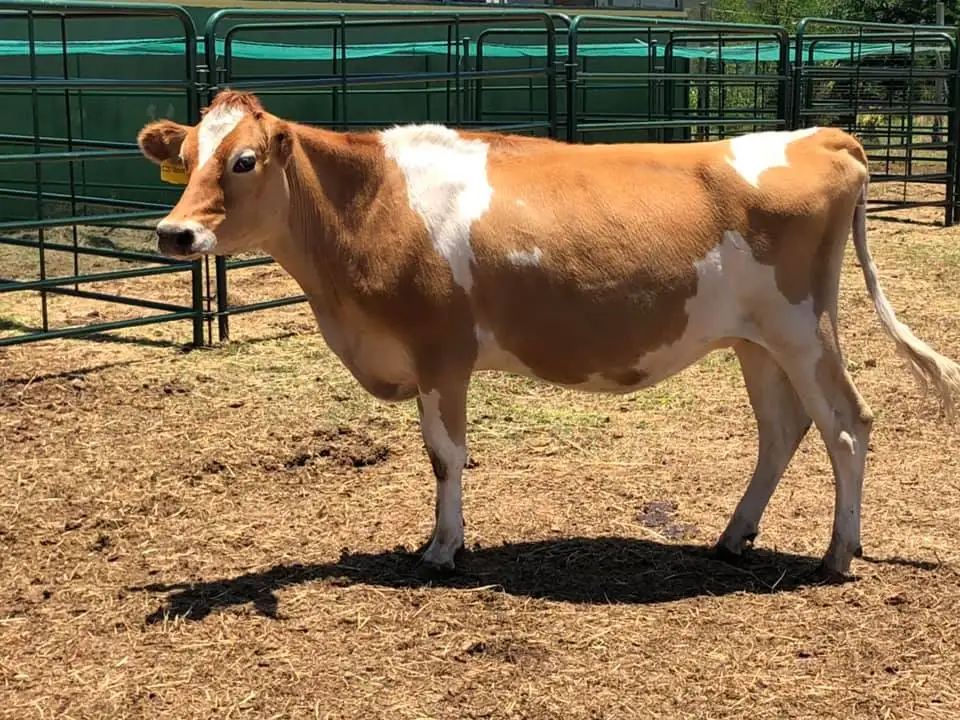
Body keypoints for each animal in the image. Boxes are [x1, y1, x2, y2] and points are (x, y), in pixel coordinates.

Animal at [136, 90, 960, 581]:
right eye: (187, 157)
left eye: (244, 160)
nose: (175, 234)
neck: (371, 205)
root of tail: (824, 137)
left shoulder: (442, 354)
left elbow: (445, 457)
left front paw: (443, 548)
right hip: (755, 341)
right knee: (784, 429)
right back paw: (735, 535)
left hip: (802, 327)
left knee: (847, 424)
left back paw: (838, 554)